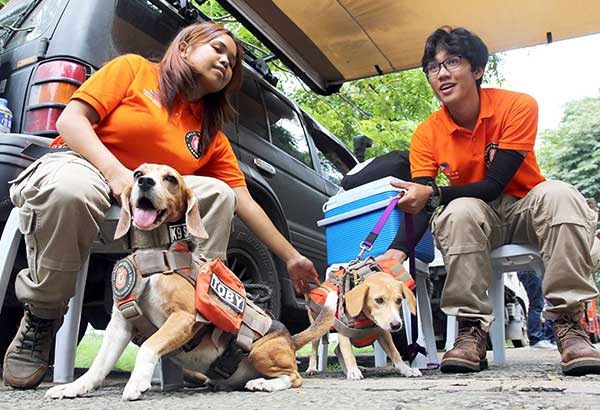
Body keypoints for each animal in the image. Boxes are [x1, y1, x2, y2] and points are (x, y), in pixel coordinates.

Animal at [45, 163, 338, 400]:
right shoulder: (120, 325)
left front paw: (136, 383)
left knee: (294, 377)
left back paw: (265, 384)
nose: (144, 182)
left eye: (170, 179)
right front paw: (73, 387)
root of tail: (289, 337)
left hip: (260, 351)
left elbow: (148, 347)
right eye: (138, 173)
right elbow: (98, 366)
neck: (155, 255)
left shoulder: (183, 317)